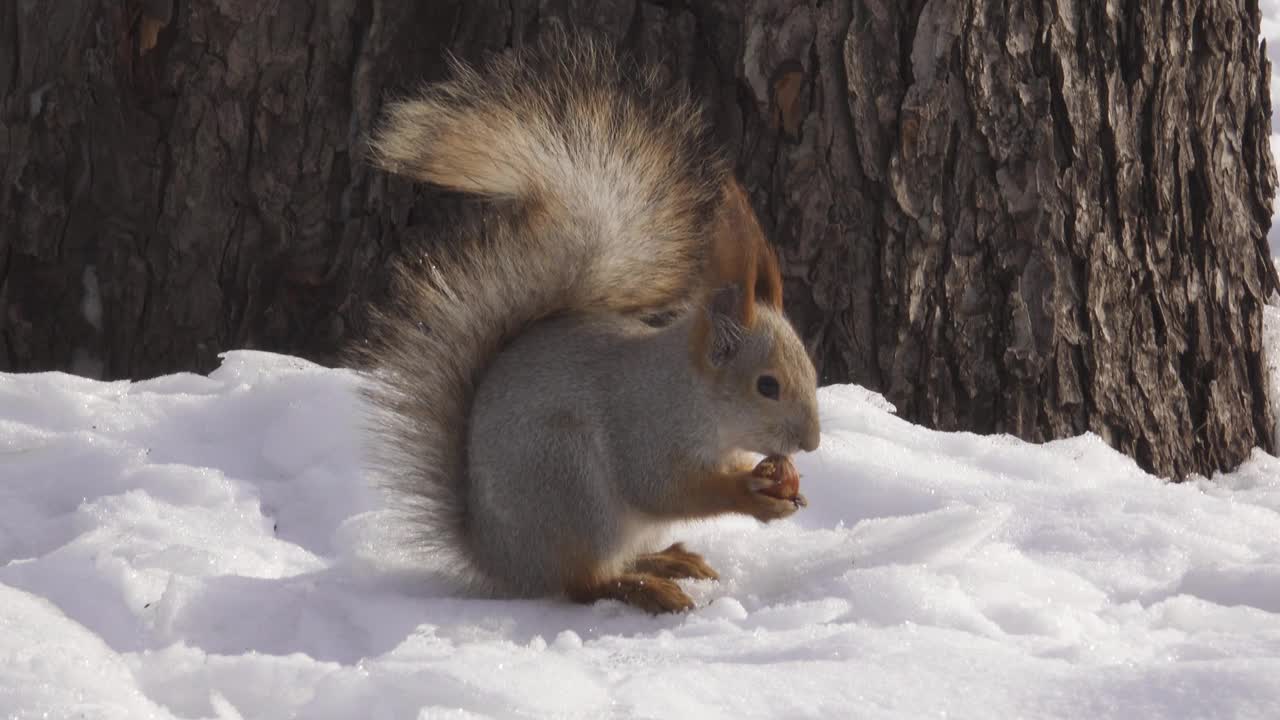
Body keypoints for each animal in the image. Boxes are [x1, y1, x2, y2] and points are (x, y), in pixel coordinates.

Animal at [360, 29, 819, 609]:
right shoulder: (646, 427)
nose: (812, 443)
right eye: (767, 386)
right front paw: (752, 495)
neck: (693, 393)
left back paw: (667, 560)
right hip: (571, 484)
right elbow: (664, 487)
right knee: (583, 583)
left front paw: (779, 482)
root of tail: (499, 558)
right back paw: (646, 589)